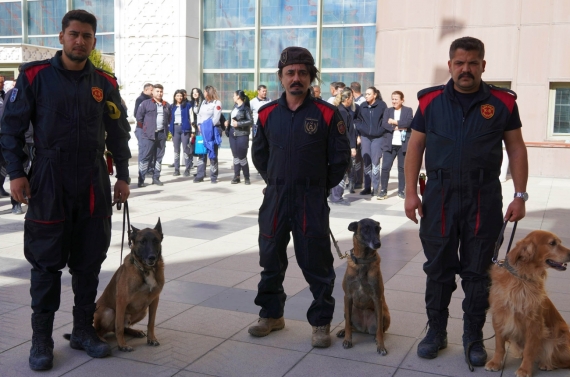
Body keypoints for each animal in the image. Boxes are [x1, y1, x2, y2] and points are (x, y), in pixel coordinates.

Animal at [93, 219, 164, 352]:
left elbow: (151, 322)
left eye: (156, 241)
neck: (145, 270)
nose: (152, 257)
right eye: (142, 242)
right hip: (109, 312)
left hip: (143, 311)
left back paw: (135, 331)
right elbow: (119, 327)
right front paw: (122, 345)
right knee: (102, 330)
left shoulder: (154, 300)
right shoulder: (121, 301)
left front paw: (151, 338)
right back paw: (101, 340)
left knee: (123, 327)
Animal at [336, 217, 388, 352]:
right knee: (350, 324)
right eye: (365, 229)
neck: (363, 261)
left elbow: (379, 329)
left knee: (381, 329)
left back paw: (376, 337)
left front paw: (381, 346)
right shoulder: (347, 296)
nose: (378, 244)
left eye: (378, 229)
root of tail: (364, 329)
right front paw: (347, 340)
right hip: (347, 311)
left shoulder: (377, 298)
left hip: (384, 315)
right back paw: (343, 331)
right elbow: (347, 324)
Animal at [484, 229, 568, 376]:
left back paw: (546, 364)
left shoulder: (534, 322)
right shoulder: (499, 316)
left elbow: (529, 350)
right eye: (552, 243)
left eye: (559, 242)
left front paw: (524, 369)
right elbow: (499, 345)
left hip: (559, 341)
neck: (521, 279)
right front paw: (495, 362)